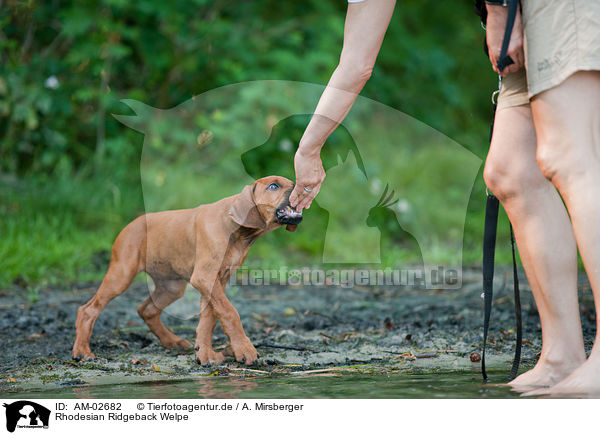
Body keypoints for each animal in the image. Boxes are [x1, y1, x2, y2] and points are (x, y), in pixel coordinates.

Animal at [72, 175, 302, 366]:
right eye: (273, 186)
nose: (303, 188)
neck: (237, 231)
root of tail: (129, 225)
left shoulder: (217, 280)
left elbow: (209, 317)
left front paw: (205, 353)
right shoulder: (204, 278)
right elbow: (230, 312)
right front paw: (244, 349)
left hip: (172, 287)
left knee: (146, 309)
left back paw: (172, 341)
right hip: (121, 274)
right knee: (88, 310)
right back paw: (82, 351)